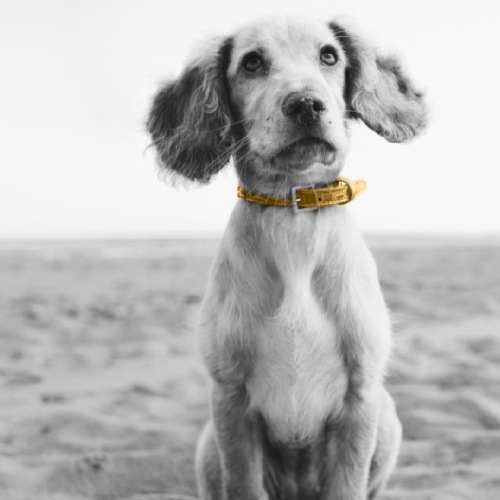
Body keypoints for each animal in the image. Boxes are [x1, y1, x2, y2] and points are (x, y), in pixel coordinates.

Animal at [146, 13, 426, 498]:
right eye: (252, 63)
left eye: (329, 56)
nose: (306, 104)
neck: (293, 216)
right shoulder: (230, 400)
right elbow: (243, 485)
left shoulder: (361, 399)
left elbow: (347, 485)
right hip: (208, 444)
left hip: (388, 419)